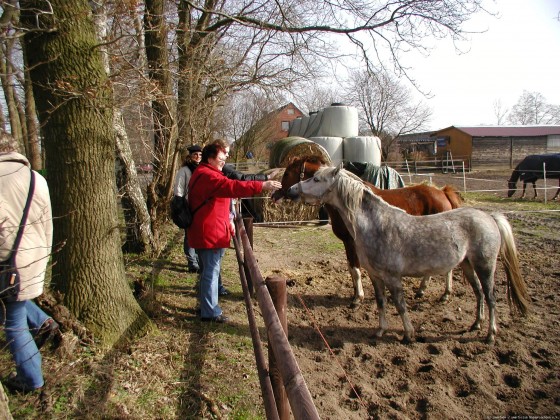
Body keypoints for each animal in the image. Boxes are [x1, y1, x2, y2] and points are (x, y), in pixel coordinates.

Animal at [272, 156, 464, 306]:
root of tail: (443, 193)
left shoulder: (351, 243)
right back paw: (422, 290)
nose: (278, 194)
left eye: (287, 173)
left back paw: (445, 294)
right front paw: (356, 294)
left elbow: (355, 270)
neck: (350, 203)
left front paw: (358, 298)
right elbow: (353, 270)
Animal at [286, 166, 532, 342]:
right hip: (467, 265)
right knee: (479, 293)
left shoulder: (393, 277)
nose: (291, 190)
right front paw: (380, 331)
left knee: (490, 297)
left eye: (316, 179)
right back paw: (475, 325)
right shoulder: (375, 276)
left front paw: (408, 334)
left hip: (485, 266)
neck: (375, 224)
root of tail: (490, 217)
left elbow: (400, 304)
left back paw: (490, 335)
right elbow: (381, 302)